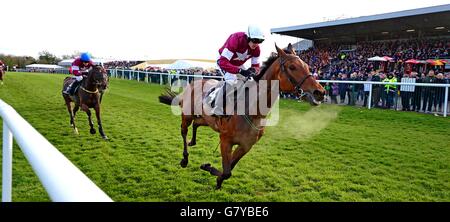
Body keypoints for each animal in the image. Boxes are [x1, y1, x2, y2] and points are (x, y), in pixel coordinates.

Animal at [158, 43, 324, 189]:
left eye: (307, 66)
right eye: (292, 67)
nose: (320, 92)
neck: (253, 111)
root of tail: (193, 83)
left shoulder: (246, 145)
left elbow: (229, 169)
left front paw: (214, 176)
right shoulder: (225, 140)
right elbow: (227, 170)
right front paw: (208, 168)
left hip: (207, 119)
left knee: (196, 123)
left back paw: (193, 142)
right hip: (187, 115)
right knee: (184, 131)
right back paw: (185, 158)